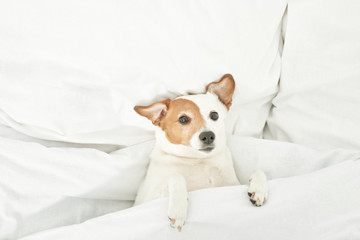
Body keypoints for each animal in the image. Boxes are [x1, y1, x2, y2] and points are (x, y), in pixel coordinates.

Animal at [132, 74, 268, 232]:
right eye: (183, 119)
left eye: (214, 115)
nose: (208, 136)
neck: (198, 160)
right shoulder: (150, 198)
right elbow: (176, 177)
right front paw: (178, 209)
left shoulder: (231, 184)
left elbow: (258, 170)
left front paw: (259, 189)